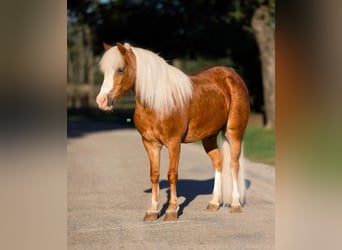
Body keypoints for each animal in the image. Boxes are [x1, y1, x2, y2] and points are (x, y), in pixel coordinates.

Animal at [95, 42, 250, 221]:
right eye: (104, 71)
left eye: (120, 69)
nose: (102, 101)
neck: (157, 102)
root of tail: (232, 75)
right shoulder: (150, 144)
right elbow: (154, 174)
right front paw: (152, 211)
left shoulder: (174, 143)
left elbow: (172, 174)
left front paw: (171, 210)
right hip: (209, 137)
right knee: (218, 161)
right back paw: (214, 203)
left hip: (234, 133)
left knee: (233, 164)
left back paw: (235, 204)